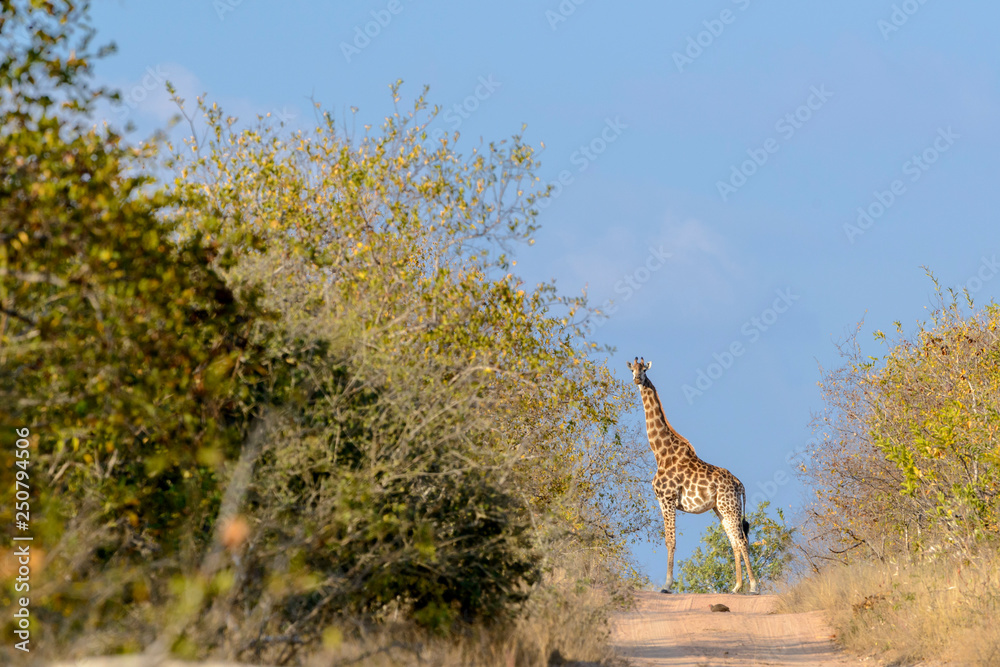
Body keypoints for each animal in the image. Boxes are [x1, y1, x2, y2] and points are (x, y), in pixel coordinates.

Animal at [628, 354, 760, 596]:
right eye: (632, 369)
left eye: (644, 370)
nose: (637, 380)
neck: (660, 453)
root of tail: (740, 484)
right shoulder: (661, 501)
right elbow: (669, 539)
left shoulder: (668, 498)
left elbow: (670, 541)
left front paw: (667, 585)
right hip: (721, 509)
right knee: (734, 541)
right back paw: (736, 587)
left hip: (729, 506)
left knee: (741, 540)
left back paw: (754, 586)